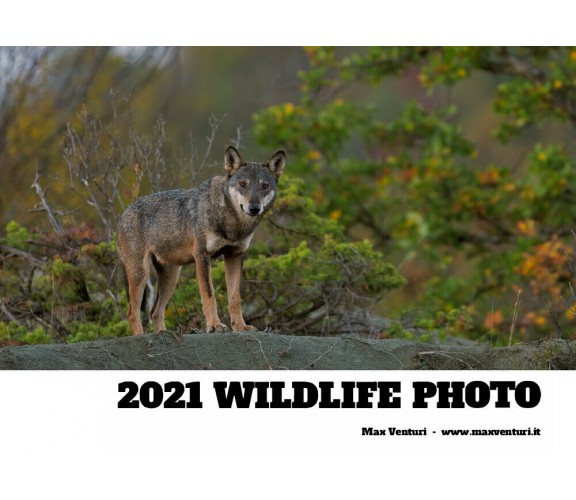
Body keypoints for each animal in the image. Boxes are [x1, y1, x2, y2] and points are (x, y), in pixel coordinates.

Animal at [116, 146, 286, 334]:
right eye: (243, 184)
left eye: (265, 186)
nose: (254, 208)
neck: (231, 222)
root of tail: (123, 215)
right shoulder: (202, 256)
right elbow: (209, 294)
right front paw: (215, 326)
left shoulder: (235, 255)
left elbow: (235, 298)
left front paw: (240, 326)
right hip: (141, 274)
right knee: (132, 313)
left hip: (171, 278)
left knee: (155, 312)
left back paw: (163, 334)